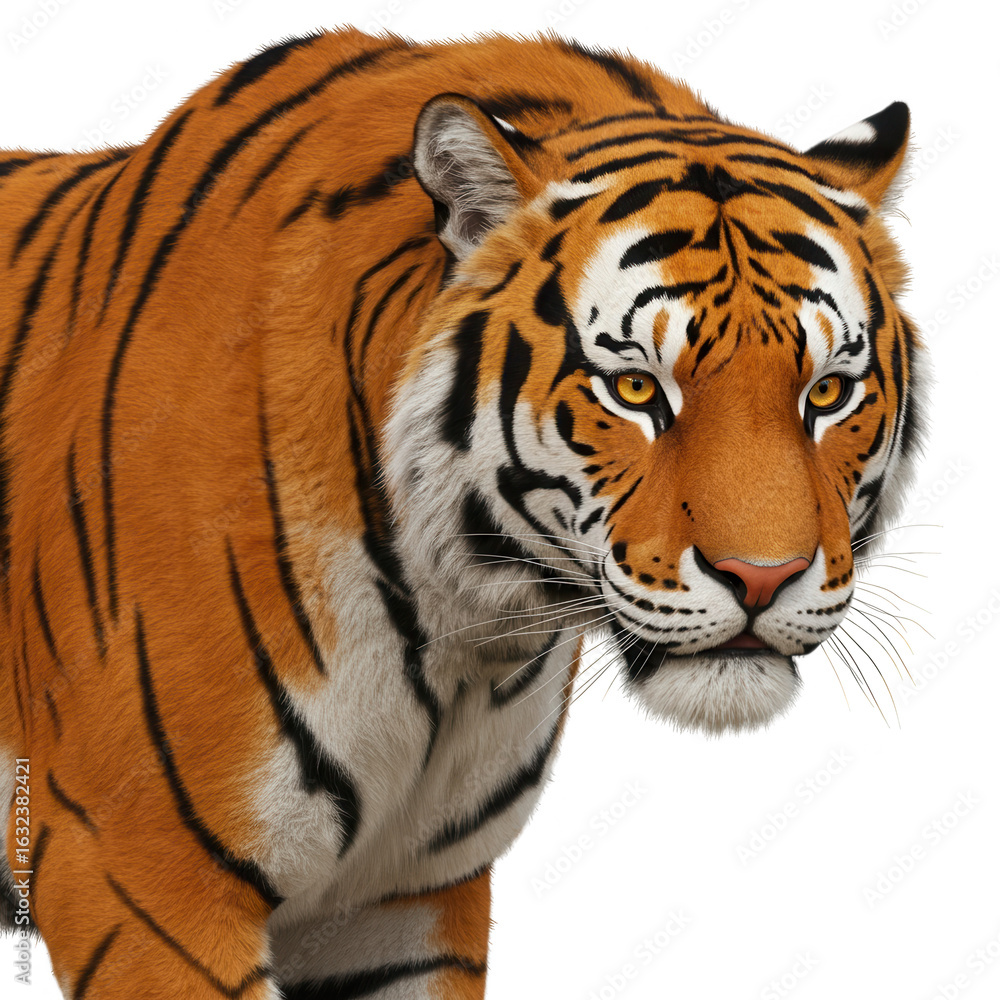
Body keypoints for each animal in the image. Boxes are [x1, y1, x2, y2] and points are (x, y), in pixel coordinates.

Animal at [0, 26, 924, 1000]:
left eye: (826, 393)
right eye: (636, 388)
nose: (762, 578)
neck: (466, 634)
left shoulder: (403, 898)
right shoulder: (143, 877)